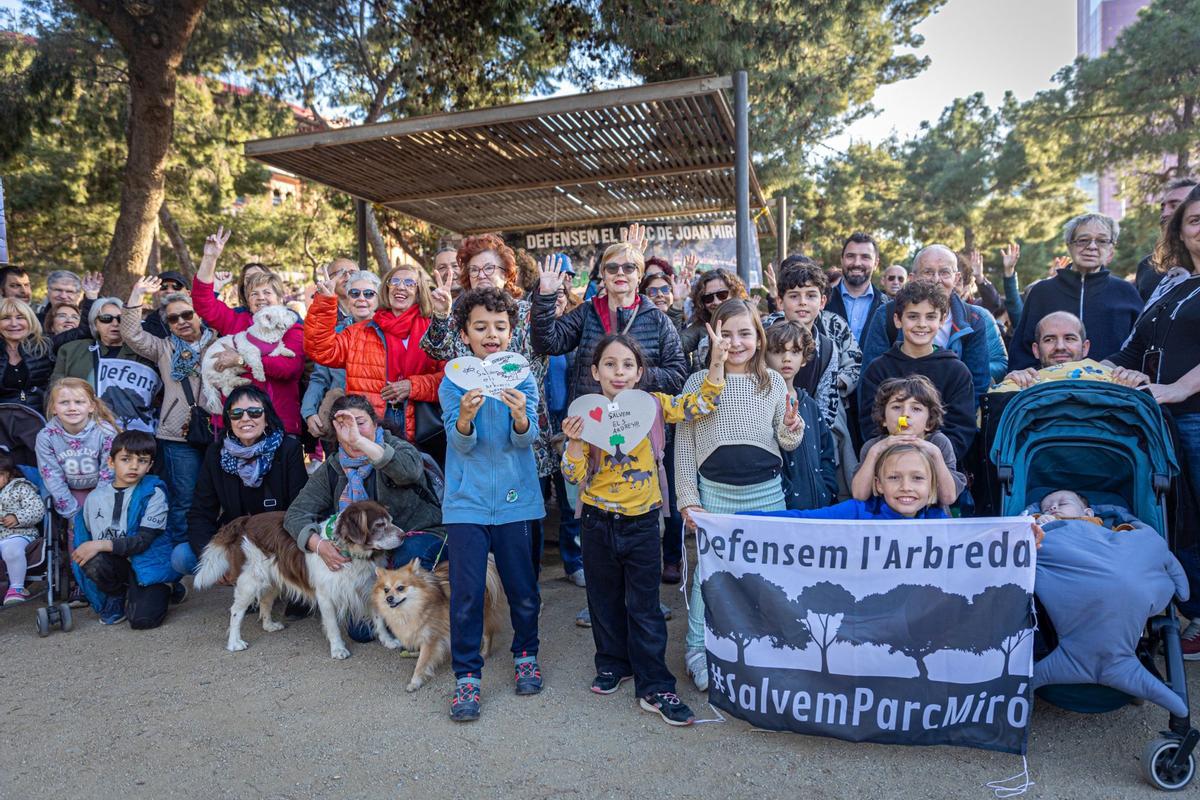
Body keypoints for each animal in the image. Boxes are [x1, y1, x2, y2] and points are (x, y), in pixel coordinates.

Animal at [194, 503, 403, 662]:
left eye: (391, 520)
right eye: (380, 524)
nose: (403, 535)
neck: (350, 553)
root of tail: (245, 520)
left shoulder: (369, 588)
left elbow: (379, 619)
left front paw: (387, 641)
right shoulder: (325, 596)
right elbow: (333, 625)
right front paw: (338, 649)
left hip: (273, 578)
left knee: (265, 601)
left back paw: (269, 625)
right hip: (250, 580)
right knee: (236, 612)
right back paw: (235, 642)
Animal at [374, 561, 506, 690]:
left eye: (400, 588)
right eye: (386, 590)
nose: (389, 598)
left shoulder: (430, 639)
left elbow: (421, 663)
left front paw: (415, 681)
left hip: (481, 618)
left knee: (488, 635)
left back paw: (484, 653)